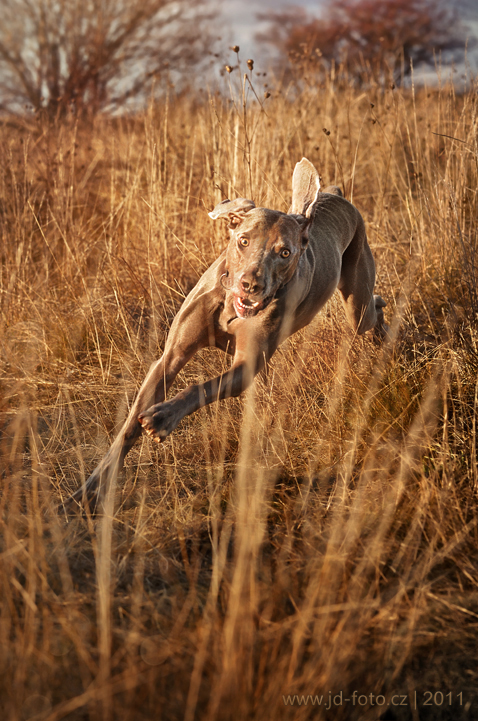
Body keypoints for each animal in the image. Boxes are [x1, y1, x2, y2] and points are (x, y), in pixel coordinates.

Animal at [65, 158, 386, 506]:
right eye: (243, 240)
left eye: (284, 253)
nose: (250, 285)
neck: (233, 308)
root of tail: (335, 195)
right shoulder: (169, 358)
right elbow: (128, 427)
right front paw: (88, 490)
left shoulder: (245, 368)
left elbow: (200, 389)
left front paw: (162, 417)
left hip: (357, 307)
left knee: (373, 307)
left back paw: (385, 334)